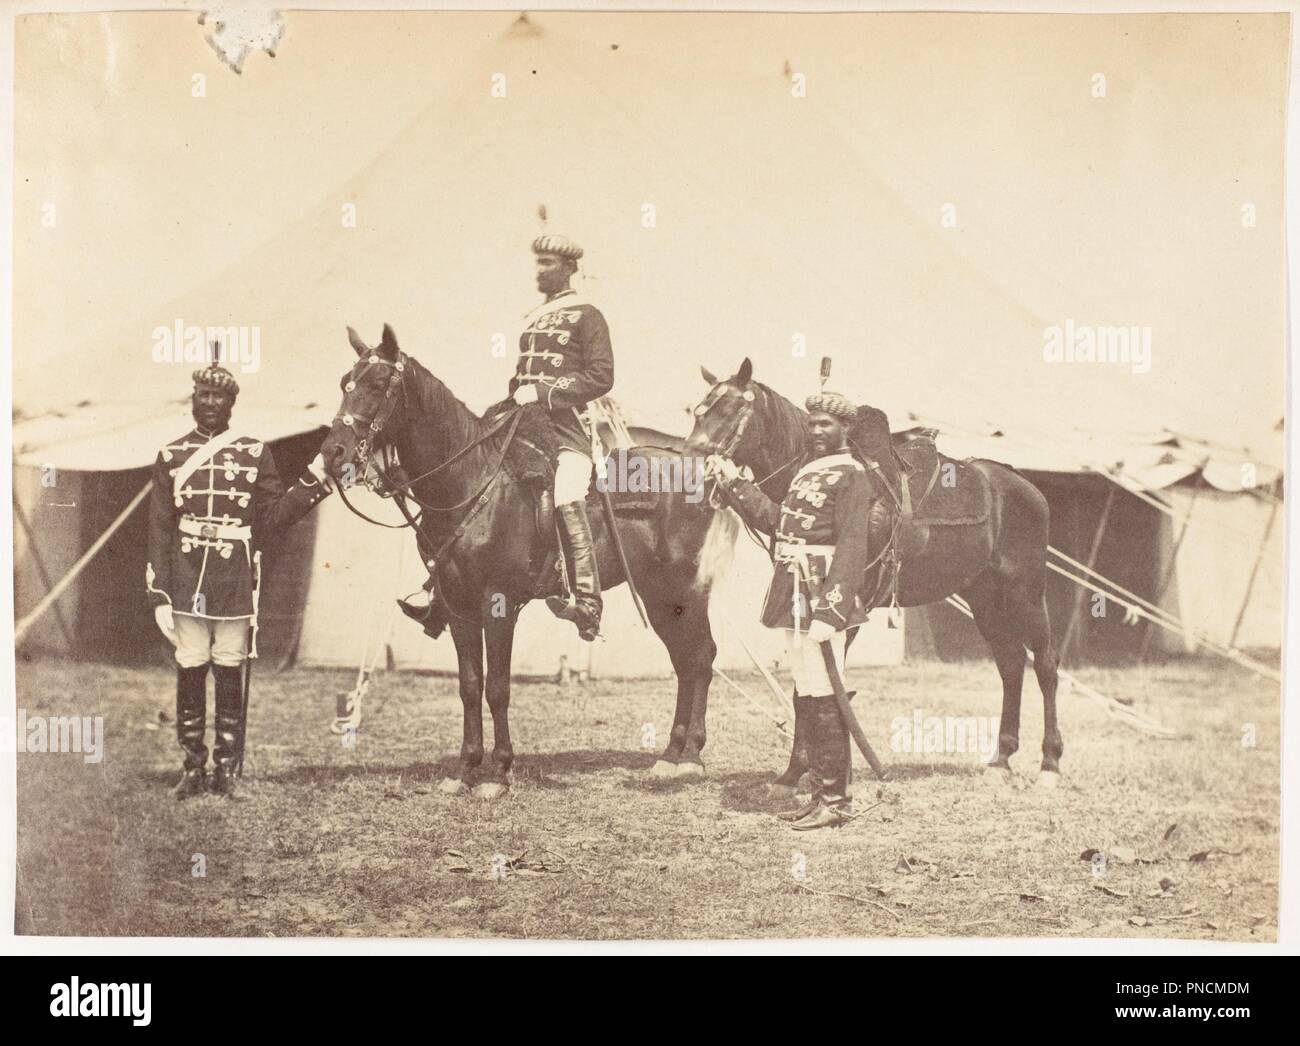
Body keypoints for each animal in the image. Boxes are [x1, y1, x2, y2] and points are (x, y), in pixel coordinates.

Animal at [321, 322, 738, 795]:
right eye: (344, 382)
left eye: (377, 384)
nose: (332, 453)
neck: (470, 482)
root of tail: (704, 473)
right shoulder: (459, 606)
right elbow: (470, 686)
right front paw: (465, 770)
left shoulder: (498, 604)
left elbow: (498, 688)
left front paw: (499, 773)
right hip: (657, 595)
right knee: (685, 662)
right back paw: (671, 754)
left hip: (685, 590)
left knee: (700, 657)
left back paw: (691, 758)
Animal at [686, 358, 1060, 784]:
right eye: (698, 409)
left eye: (731, 407)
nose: (692, 461)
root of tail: (1028, 487)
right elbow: (807, 689)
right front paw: (799, 772)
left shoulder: (844, 612)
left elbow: (821, 688)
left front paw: (810, 769)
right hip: (986, 598)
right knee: (1011, 664)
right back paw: (1001, 758)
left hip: (1027, 593)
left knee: (1045, 664)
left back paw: (1050, 763)